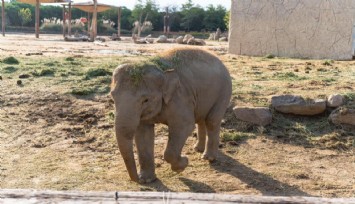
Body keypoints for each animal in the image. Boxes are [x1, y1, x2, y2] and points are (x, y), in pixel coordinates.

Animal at [111, 47, 234, 183]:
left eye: (146, 100)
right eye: (112, 96)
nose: (137, 180)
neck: (161, 70)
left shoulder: (179, 98)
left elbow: (185, 126)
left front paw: (183, 164)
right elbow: (143, 133)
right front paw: (147, 180)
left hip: (224, 90)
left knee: (212, 121)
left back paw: (208, 158)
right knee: (201, 120)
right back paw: (198, 149)